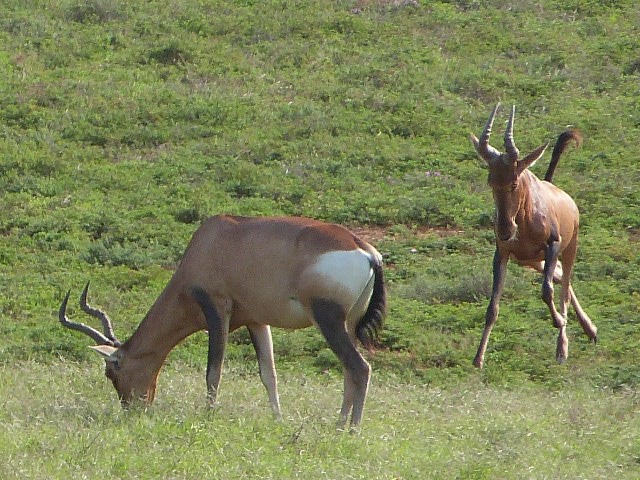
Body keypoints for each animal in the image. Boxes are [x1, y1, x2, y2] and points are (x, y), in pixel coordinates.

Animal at [58, 215, 384, 428]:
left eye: (111, 372)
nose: (134, 409)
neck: (212, 240)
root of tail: (367, 252)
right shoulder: (257, 321)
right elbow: (269, 375)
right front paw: (278, 421)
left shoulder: (217, 311)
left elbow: (213, 372)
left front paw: (209, 415)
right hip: (347, 324)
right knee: (349, 371)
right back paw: (339, 424)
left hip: (327, 318)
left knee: (360, 368)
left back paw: (350, 430)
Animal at [468, 103, 596, 368]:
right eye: (490, 180)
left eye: (514, 181)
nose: (506, 231)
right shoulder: (502, 254)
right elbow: (492, 307)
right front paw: (478, 359)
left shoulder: (553, 245)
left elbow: (547, 291)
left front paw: (559, 323)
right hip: (534, 261)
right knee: (562, 279)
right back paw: (590, 331)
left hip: (568, 249)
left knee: (564, 286)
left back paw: (564, 347)